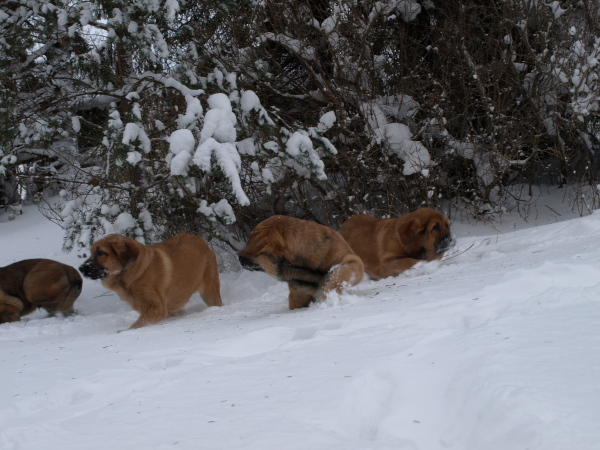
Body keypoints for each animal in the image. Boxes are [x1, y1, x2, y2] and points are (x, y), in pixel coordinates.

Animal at [78, 234, 221, 328]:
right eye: (91, 252)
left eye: (100, 252)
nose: (80, 269)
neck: (132, 271)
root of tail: (201, 240)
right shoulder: (165, 309)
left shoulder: (155, 308)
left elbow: (135, 326)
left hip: (209, 291)